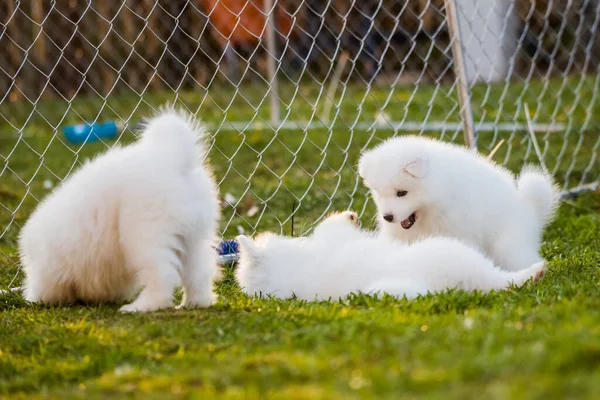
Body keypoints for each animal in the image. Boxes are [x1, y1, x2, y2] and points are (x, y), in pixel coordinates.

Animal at [18, 108, 221, 312]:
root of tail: (174, 158)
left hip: (146, 234)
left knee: (161, 275)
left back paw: (140, 306)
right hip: (193, 237)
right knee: (199, 272)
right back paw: (195, 303)